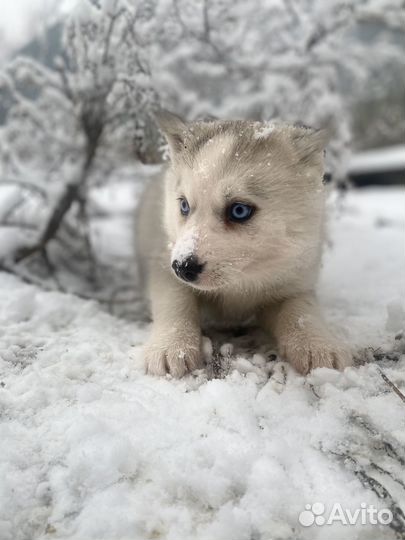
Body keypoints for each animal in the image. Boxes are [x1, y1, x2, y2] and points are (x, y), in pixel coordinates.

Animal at [135, 111, 350, 378]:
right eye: (184, 205)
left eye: (239, 211)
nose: (182, 267)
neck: (237, 284)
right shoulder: (163, 263)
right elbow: (174, 301)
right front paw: (171, 346)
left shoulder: (293, 280)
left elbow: (301, 309)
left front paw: (317, 344)